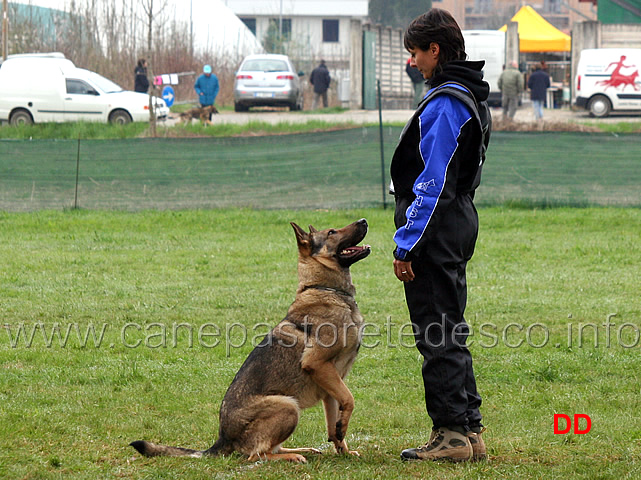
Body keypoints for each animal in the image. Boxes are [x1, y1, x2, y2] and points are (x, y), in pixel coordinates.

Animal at [130, 219, 370, 464]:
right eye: (332, 232)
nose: (363, 221)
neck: (325, 289)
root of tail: (223, 439)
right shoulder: (319, 365)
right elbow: (349, 400)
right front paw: (343, 431)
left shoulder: (331, 382)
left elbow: (334, 423)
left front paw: (344, 449)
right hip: (287, 405)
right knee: (256, 455)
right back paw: (292, 456)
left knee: (268, 449)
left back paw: (303, 450)